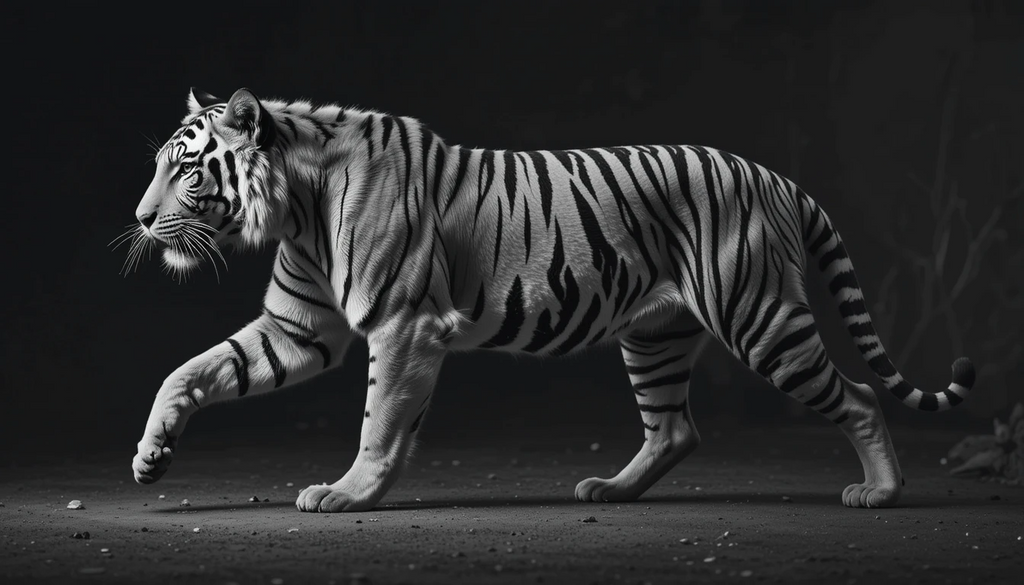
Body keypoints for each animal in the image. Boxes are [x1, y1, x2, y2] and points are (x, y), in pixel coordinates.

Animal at [127, 87, 975, 512]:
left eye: (187, 168)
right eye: (161, 164)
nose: (137, 217)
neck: (297, 204)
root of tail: (775, 177)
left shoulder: (404, 325)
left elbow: (379, 422)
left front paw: (346, 492)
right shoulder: (300, 326)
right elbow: (191, 369)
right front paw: (151, 453)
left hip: (760, 317)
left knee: (859, 394)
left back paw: (881, 491)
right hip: (655, 335)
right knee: (675, 428)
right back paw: (612, 489)